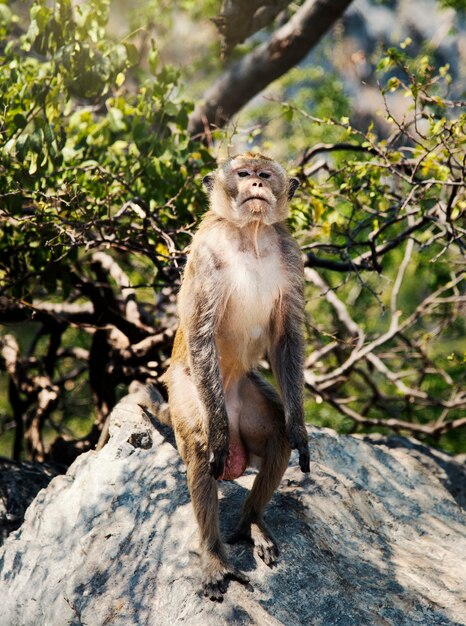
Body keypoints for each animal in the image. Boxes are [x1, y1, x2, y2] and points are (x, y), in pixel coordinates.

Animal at [164, 151, 310, 600]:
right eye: (243, 174)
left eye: (265, 174)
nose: (256, 186)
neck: (250, 234)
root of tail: (227, 395)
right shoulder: (206, 250)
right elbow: (201, 330)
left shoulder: (291, 252)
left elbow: (286, 337)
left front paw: (300, 428)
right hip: (190, 392)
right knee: (200, 448)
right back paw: (214, 557)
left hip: (248, 399)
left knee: (275, 436)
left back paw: (251, 523)